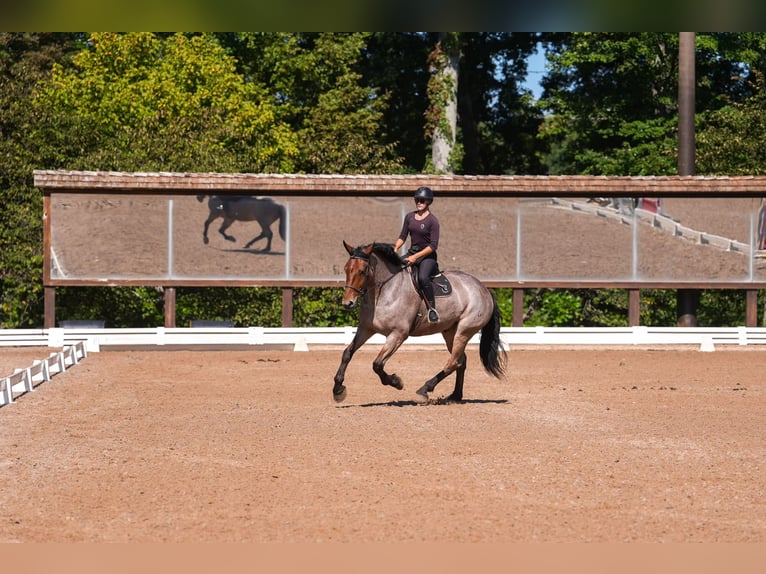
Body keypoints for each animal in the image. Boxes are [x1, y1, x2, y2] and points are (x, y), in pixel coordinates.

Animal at [333, 240, 507, 404]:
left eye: (362, 271)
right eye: (346, 269)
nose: (347, 303)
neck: (383, 292)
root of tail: (484, 289)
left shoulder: (398, 334)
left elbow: (377, 364)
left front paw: (396, 382)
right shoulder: (366, 328)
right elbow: (347, 353)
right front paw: (338, 389)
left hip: (463, 332)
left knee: (453, 362)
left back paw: (425, 389)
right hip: (450, 332)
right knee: (460, 361)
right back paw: (455, 395)